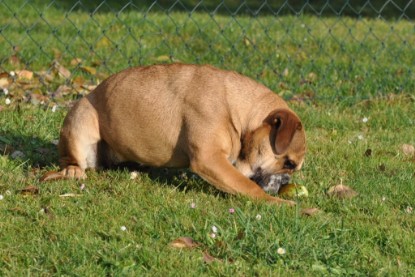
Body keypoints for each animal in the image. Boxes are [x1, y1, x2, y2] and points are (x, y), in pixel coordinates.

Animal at [42, 63, 306, 205]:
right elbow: (248, 186)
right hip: (80, 118)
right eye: (289, 164)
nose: (286, 181)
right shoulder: (209, 159)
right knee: (71, 159)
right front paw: (279, 203)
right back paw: (73, 170)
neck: (239, 110)